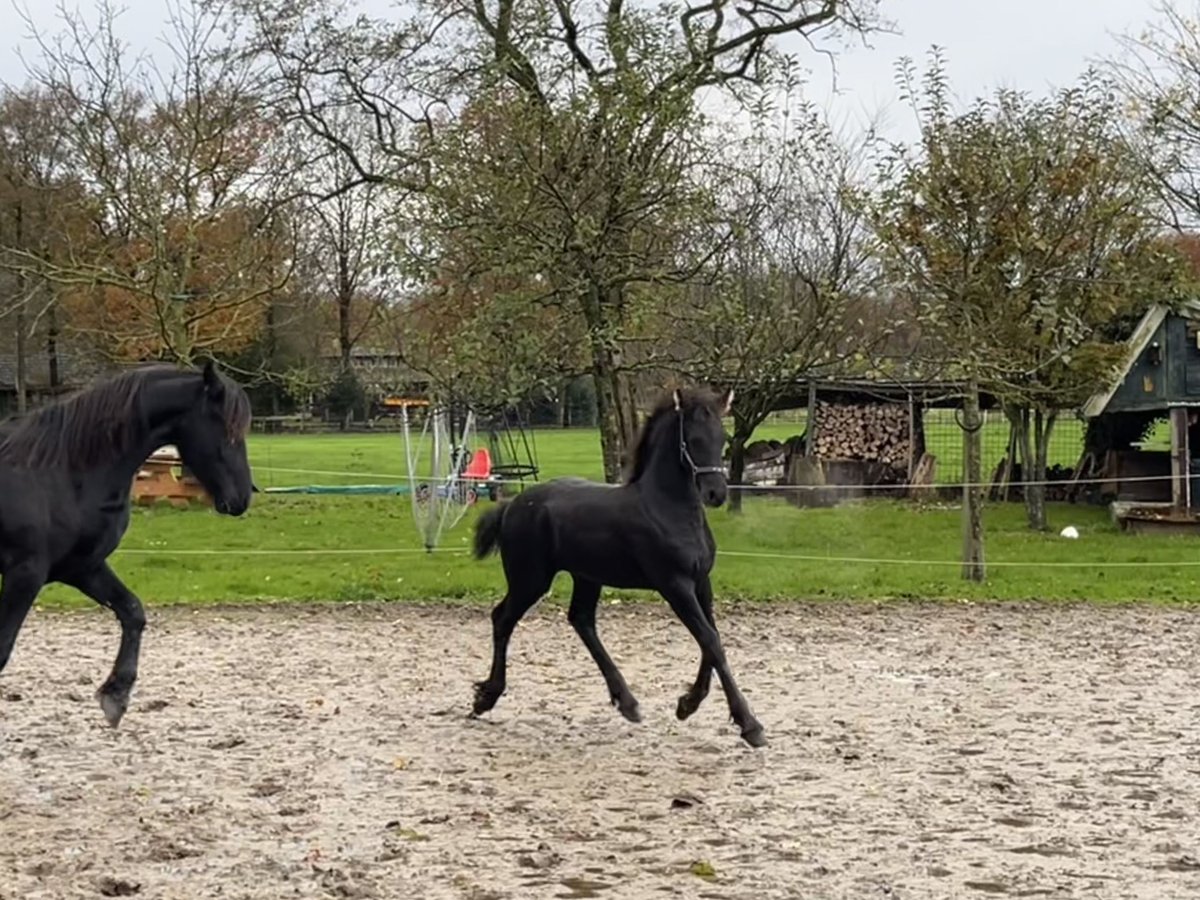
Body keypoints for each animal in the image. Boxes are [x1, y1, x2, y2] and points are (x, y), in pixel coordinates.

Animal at [0, 362, 250, 729]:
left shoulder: (82, 567)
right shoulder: (25, 573)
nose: (242, 497)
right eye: (227, 428)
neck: (60, 472)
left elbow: (132, 611)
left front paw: (115, 695)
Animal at [470, 388, 768, 748]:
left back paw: (626, 701)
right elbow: (710, 641)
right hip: (530, 579)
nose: (716, 493)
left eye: (722, 438)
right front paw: (749, 725)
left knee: (581, 620)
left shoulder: (701, 582)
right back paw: (486, 698)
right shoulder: (674, 584)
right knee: (502, 618)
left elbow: (711, 640)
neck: (667, 508)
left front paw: (687, 704)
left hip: (586, 576)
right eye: (693, 440)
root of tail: (511, 505)